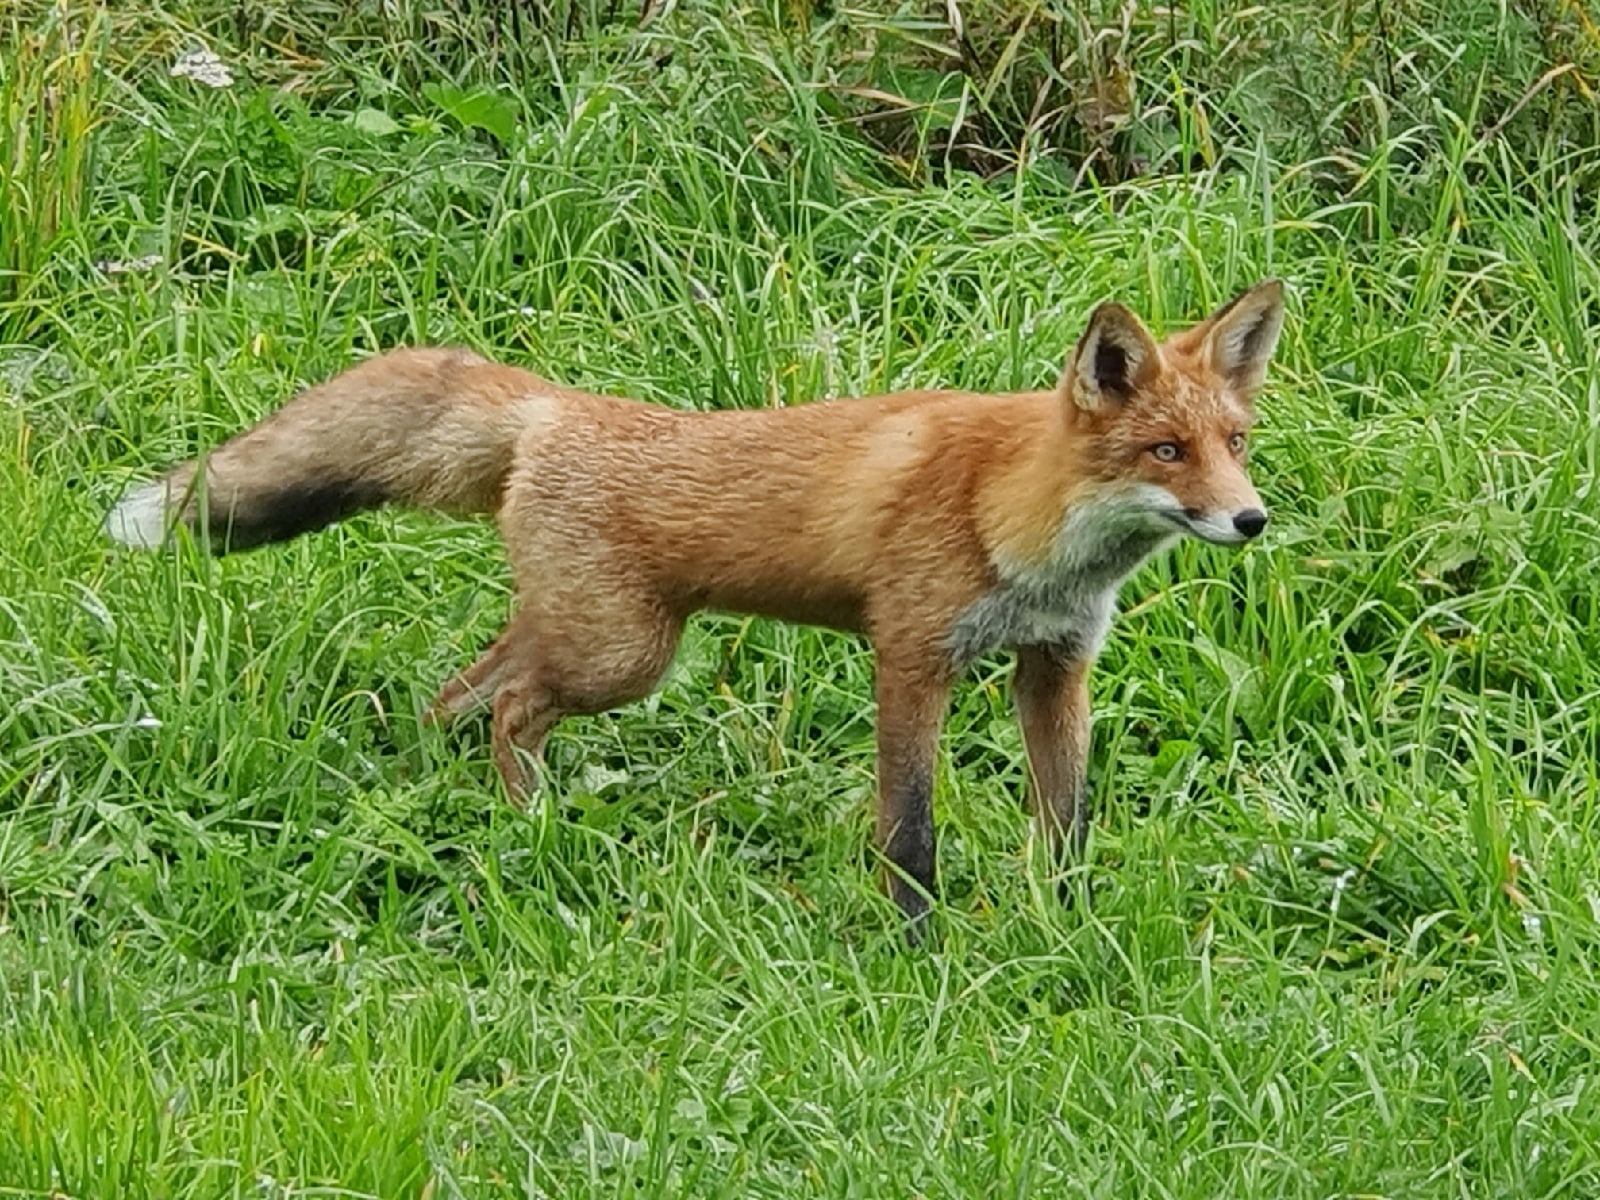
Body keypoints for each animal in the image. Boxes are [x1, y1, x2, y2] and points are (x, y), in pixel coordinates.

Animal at [106, 280, 1286, 928]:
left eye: (1233, 444)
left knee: (460, 696)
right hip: (622, 653)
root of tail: (557, 407)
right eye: (1165, 451)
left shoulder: (1055, 662)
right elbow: (908, 832)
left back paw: (461, 811)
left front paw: (1068, 926)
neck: (1019, 515)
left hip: (585, 632)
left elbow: (1067, 823)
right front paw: (917, 947)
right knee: (509, 707)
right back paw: (531, 829)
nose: (1250, 520)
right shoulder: (912, 655)